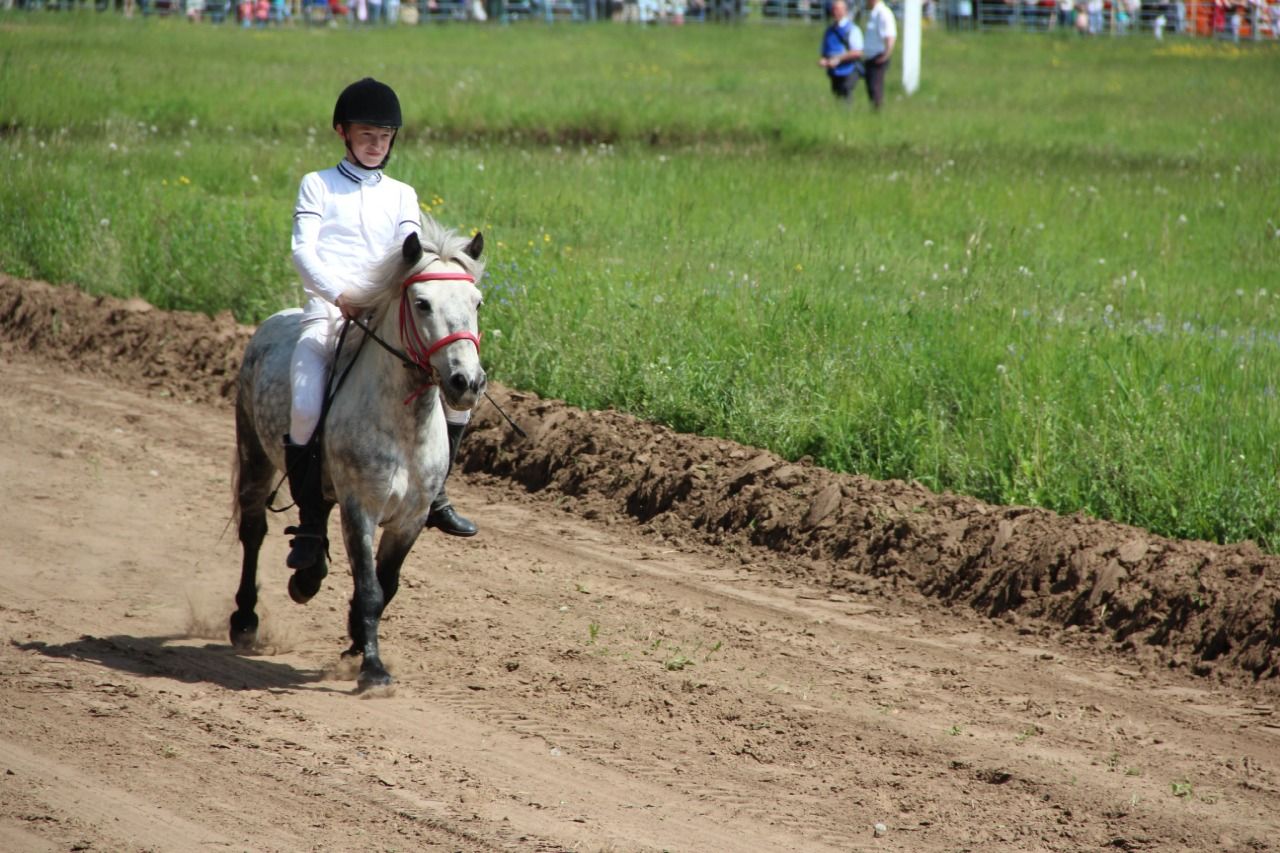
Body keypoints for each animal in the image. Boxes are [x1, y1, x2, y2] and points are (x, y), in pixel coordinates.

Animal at [227, 219, 486, 691]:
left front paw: (355, 644)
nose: (467, 382)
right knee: (254, 531)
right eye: (422, 303)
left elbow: (388, 585)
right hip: (255, 453)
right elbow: (369, 588)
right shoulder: (360, 508)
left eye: (476, 302)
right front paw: (373, 670)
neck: (405, 428)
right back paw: (246, 619)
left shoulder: (410, 518)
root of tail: (274, 320)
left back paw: (307, 572)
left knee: (312, 511)